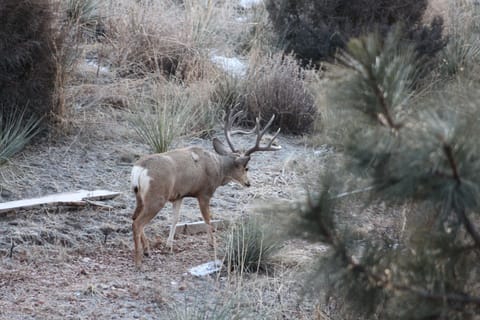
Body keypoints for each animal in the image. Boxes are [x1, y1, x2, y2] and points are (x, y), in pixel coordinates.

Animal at [131, 111, 282, 266]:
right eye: (246, 168)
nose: (248, 183)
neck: (218, 168)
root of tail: (139, 169)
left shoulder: (179, 195)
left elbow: (175, 219)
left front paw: (169, 246)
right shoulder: (204, 193)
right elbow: (207, 219)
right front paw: (212, 244)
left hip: (140, 196)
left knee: (134, 217)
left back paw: (147, 250)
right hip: (157, 196)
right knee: (137, 223)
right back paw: (138, 261)